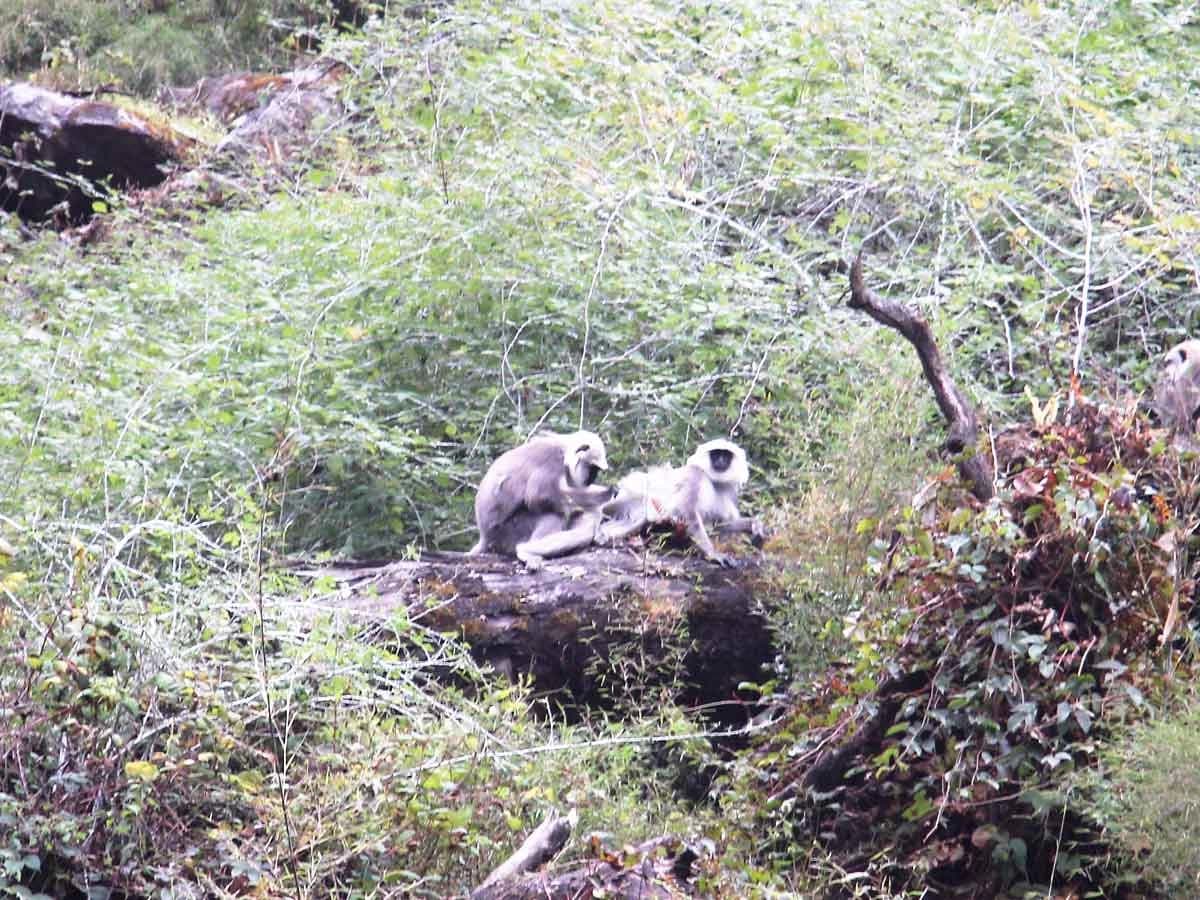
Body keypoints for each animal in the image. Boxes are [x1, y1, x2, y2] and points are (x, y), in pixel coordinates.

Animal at [470, 431, 613, 570]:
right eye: (593, 469)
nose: (591, 479)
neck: (563, 448)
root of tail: (484, 536)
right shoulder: (553, 460)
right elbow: (535, 497)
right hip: (506, 532)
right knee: (554, 515)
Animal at [598, 438, 764, 567]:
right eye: (716, 454)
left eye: (726, 455)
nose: (721, 460)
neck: (714, 481)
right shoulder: (694, 475)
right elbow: (687, 510)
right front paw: (713, 554)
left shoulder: (730, 492)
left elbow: (719, 525)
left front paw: (755, 525)